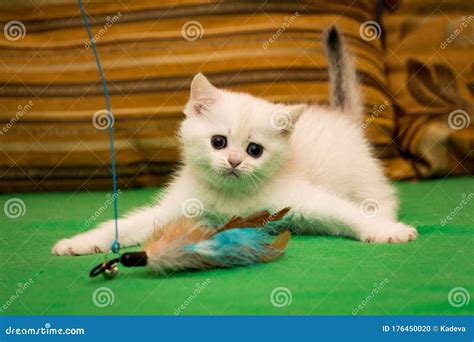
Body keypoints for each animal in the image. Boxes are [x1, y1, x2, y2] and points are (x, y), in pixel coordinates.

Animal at [52, 27, 414, 256]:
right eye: (218, 142)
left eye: (255, 150)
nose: (234, 161)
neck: (230, 197)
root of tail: (339, 115)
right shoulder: (173, 211)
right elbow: (125, 226)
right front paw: (80, 242)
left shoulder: (306, 199)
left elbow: (349, 214)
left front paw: (388, 231)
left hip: (361, 176)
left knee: (381, 198)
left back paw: (385, 217)